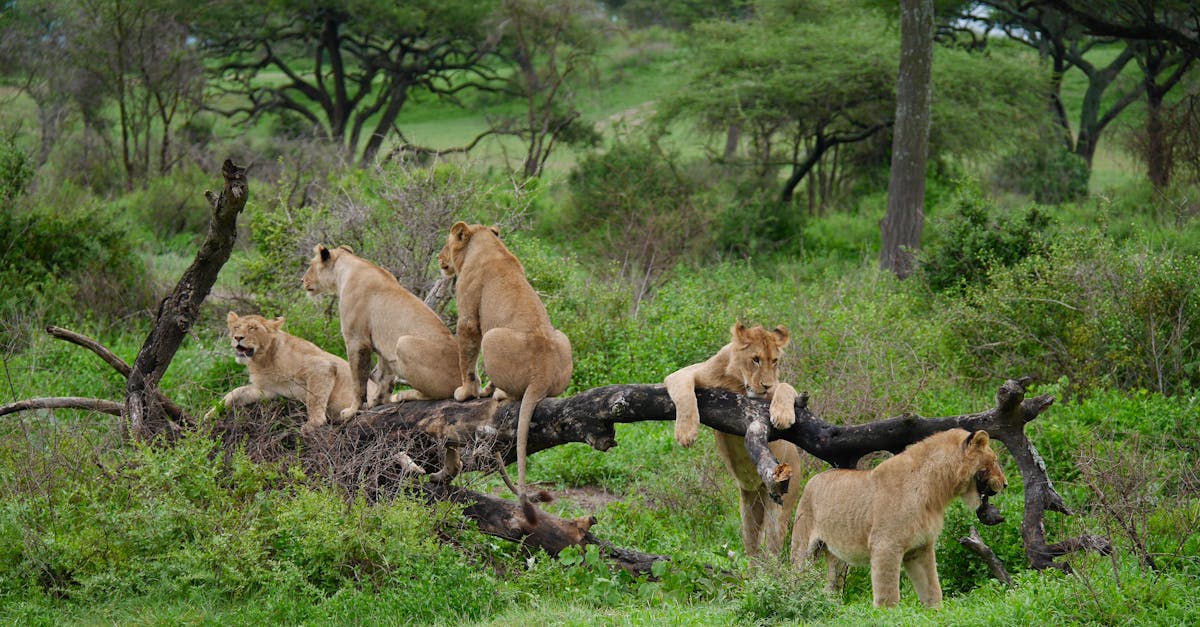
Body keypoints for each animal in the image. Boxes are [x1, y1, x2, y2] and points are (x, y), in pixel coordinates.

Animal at [302, 245, 460, 419]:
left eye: (311, 264)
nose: (302, 280)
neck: (345, 270)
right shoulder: (382, 346)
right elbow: (385, 376)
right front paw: (377, 402)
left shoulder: (357, 339)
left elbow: (358, 380)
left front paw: (352, 411)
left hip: (404, 343)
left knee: (437, 394)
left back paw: (404, 395)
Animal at [437, 222, 573, 513]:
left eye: (446, 243)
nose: (439, 259)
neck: (486, 244)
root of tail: (542, 374)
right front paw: (480, 390)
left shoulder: (467, 317)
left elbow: (467, 359)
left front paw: (466, 392)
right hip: (563, 338)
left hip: (492, 336)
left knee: (513, 393)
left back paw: (498, 394)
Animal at [664, 322, 802, 557]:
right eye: (755, 359)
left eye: (774, 361)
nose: (766, 385)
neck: (737, 383)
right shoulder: (686, 373)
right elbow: (684, 392)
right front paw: (685, 433)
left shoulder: (775, 389)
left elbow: (785, 387)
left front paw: (783, 415)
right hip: (748, 510)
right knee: (753, 550)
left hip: (780, 506)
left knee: (773, 551)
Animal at [790, 428, 1008, 608]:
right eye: (994, 461)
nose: (1005, 484)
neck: (936, 490)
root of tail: (812, 478)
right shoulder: (885, 545)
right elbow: (888, 594)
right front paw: (887, 616)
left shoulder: (920, 547)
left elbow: (931, 587)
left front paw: (936, 612)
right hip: (803, 547)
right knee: (795, 576)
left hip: (837, 558)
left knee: (831, 587)